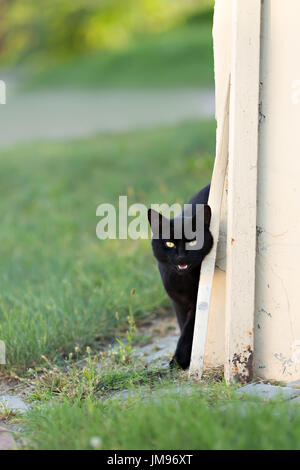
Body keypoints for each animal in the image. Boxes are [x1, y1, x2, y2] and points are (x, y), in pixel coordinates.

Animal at [148, 185, 213, 370]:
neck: (185, 282)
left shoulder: (199, 302)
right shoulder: (178, 303)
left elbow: (190, 330)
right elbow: (182, 325)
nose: (182, 256)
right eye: (169, 243)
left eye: (193, 242)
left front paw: (179, 360)